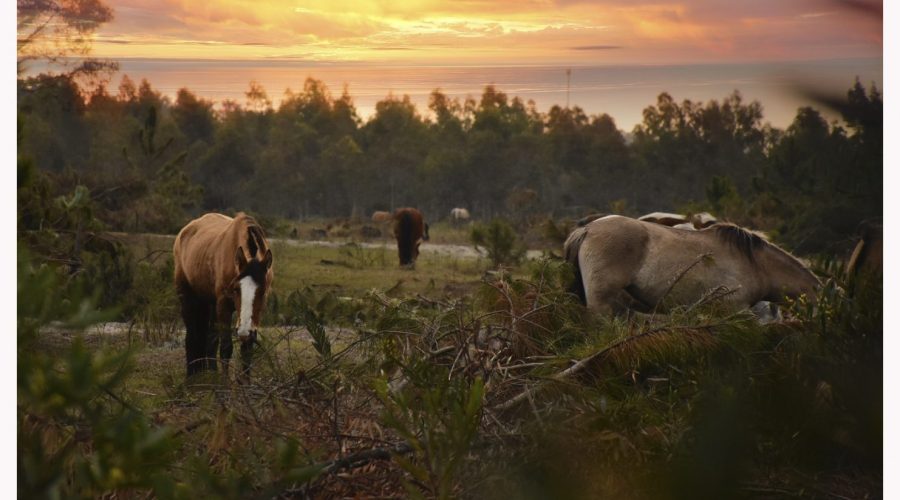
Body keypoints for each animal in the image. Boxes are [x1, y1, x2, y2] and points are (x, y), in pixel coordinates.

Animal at [174, 212, 274, 377]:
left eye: (263, 291)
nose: (244, 331)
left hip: (211, 305)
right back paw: (191, 376)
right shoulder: (224, 305)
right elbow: (226, 348)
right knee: (192, 337)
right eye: (236, 289)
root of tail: (184, 232)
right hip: (188, 299)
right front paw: (224, 382)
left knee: (210, 339)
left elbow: (247, 350)